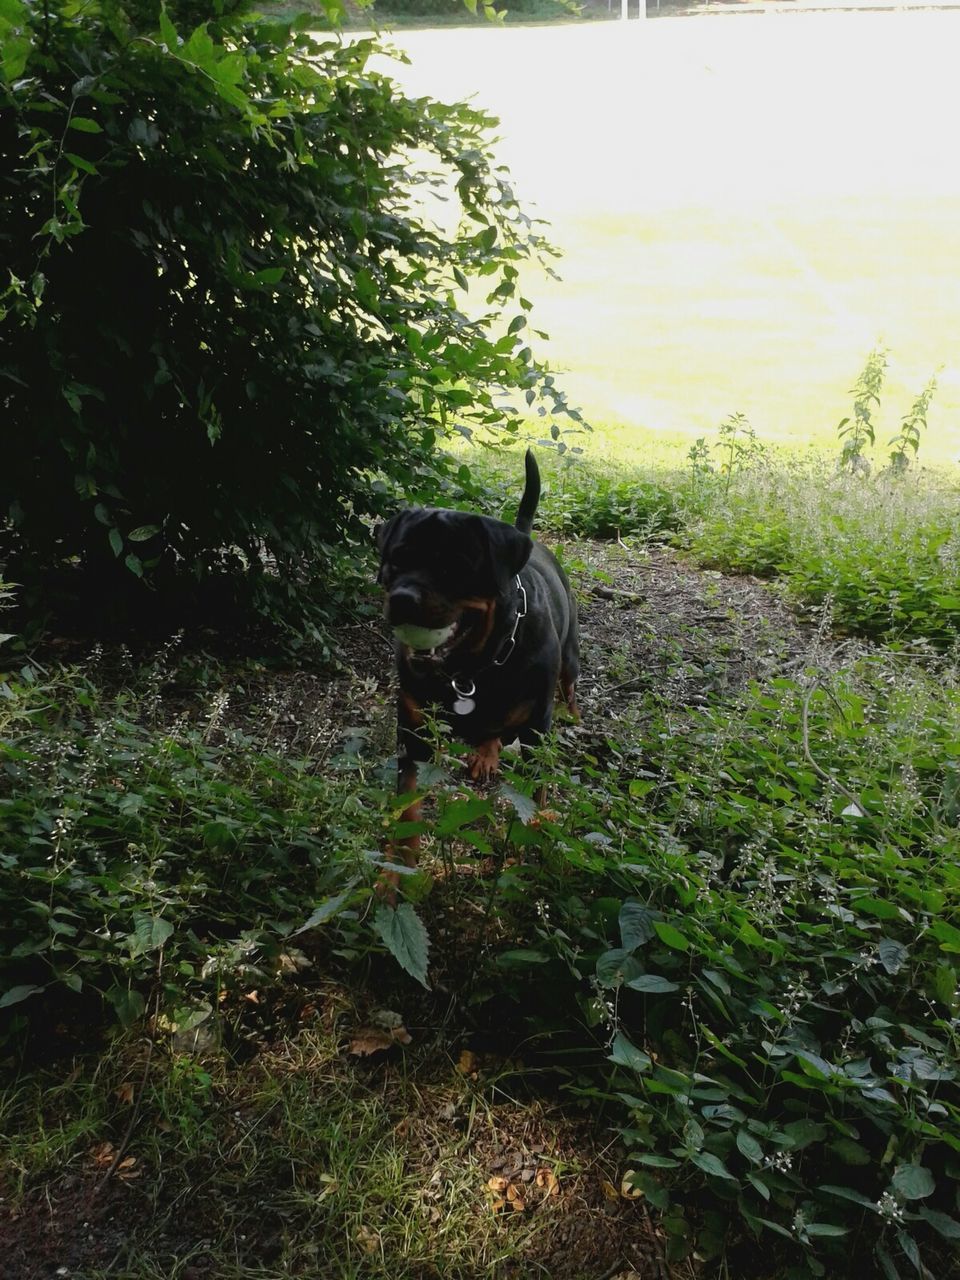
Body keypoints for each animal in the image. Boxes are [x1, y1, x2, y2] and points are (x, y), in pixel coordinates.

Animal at [378, 448, 583, 860]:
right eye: (396, 559)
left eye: (454, 566)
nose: (403, 599)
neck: (471, 668)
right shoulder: (412, 728)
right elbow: (407, 805)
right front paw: (396, 870)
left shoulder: (537, 727)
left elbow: (533, 793)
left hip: (569, 659)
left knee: (569, 686)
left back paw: (574, 717)